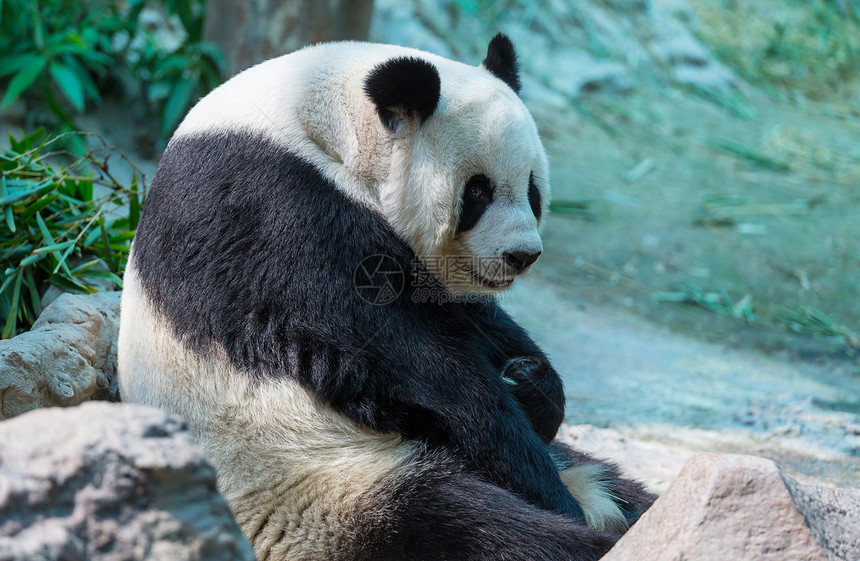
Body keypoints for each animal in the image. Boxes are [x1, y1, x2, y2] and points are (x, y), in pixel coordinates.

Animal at [116, 35, 652, 560]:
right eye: (478, 191)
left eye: (532, 189)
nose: (522, 255)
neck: (322, 124)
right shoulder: (274, 212)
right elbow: (414, 363)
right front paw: (546, 487)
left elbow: (465, 317)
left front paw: (531, 381)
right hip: (317, 484)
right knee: (469, 530)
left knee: (612, 483)